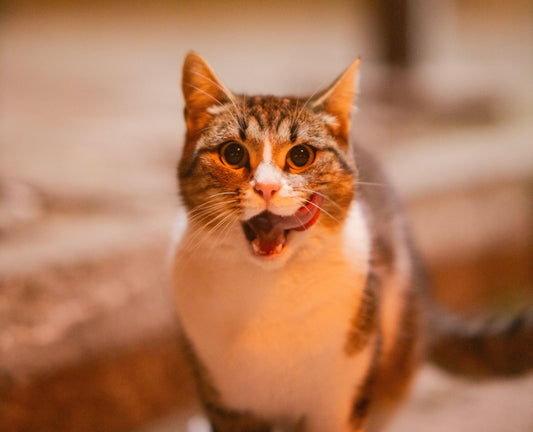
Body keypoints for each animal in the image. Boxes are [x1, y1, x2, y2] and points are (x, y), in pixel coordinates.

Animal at [171, 51, 532, 432]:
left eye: (300, 156)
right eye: (233, 154)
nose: (267, 187)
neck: (270, 288)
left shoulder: (339, 402)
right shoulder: (228, 406)